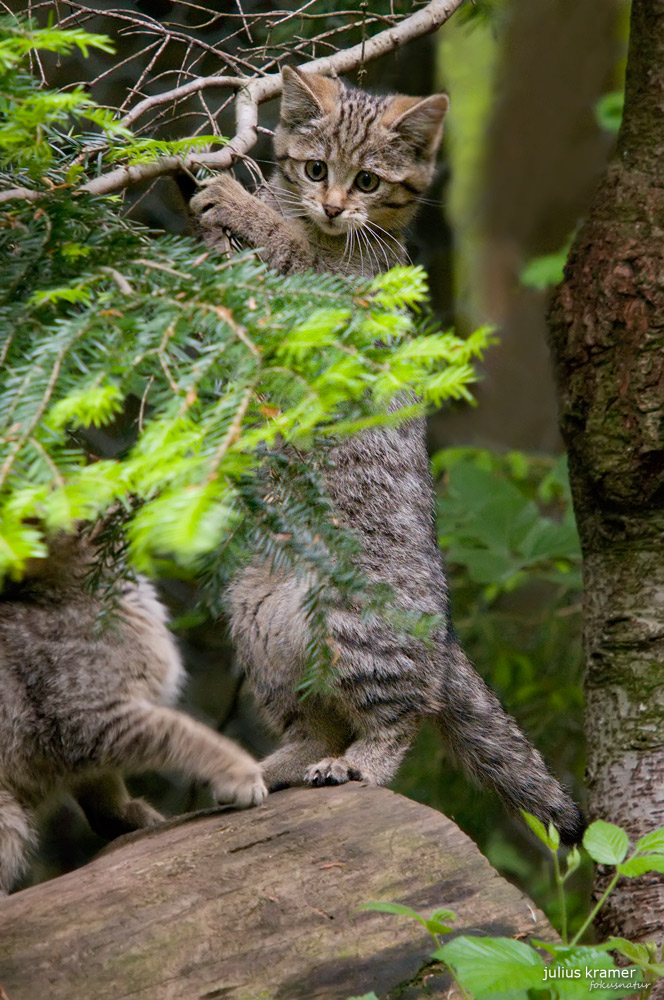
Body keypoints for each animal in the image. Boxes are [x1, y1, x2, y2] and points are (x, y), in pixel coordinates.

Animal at [0, 532, 264, 892]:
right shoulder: (89, 716)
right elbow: (185, 734)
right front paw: (239, 771)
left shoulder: (85, 742)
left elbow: (101, 791)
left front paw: (126, 815)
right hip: (8, 813)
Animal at [189, 64, 584, 844]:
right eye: (316, 169)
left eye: (369, 181)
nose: (335, 207)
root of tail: (445, 635)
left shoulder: (332, 304)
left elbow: (290, 254)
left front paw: (241, 205)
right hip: (261, 624)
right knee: (318, 719)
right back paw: (284, 762)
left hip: (357, 626)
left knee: (404, 713)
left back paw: (360, 765)